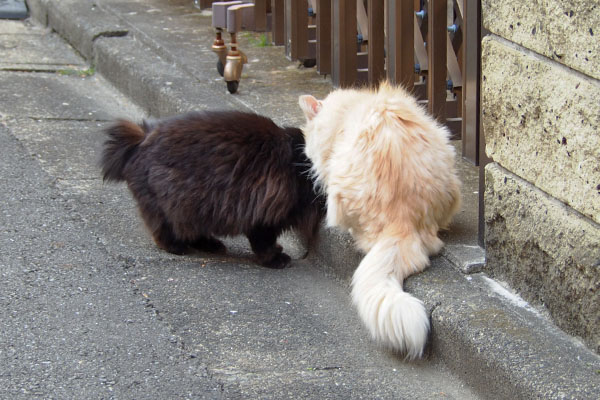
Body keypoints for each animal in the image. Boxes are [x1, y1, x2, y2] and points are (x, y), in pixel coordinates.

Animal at [101, 110, 324, 268]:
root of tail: (142, 138)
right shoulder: (265, 215)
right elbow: (264, 242)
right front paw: (274, 259)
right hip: (174, 203)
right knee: (164, 230)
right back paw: (177, 247)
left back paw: (211, 244)